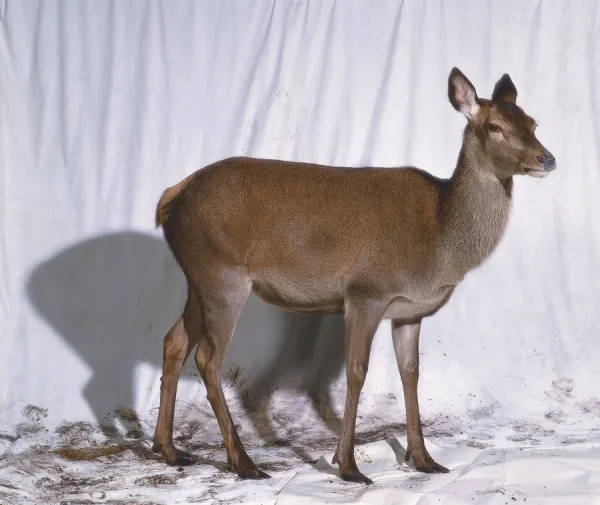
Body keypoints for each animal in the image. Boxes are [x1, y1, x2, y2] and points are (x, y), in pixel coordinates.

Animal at [152, 68, 556, 484]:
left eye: (533, 122)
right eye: (495, 126)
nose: (548, 158)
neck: (440, 238)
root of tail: (170, 198)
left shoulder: (409, 310)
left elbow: (410, 373)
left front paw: (423, 458)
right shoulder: (366, 292)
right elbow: (356, 372)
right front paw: (347, 464)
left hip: (197, 279)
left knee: (174, 341)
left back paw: (169, 449)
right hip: (222, 273)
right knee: (208, 358)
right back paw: (244, 462)